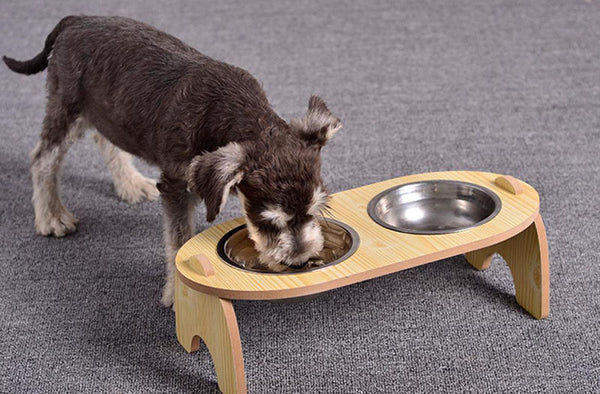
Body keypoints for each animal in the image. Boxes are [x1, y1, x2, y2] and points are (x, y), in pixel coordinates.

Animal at [3, 15, 342, 306]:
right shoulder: (176, 186)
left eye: (315, 212)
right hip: (67, 106)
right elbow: (178, 241)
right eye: (268, 222)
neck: (229, 112)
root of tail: (75, 20)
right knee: (43, 157)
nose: (299, 262)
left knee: (104, 140)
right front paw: (180, 295)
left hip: (108, 111)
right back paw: (51, 216)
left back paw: (130, 183)